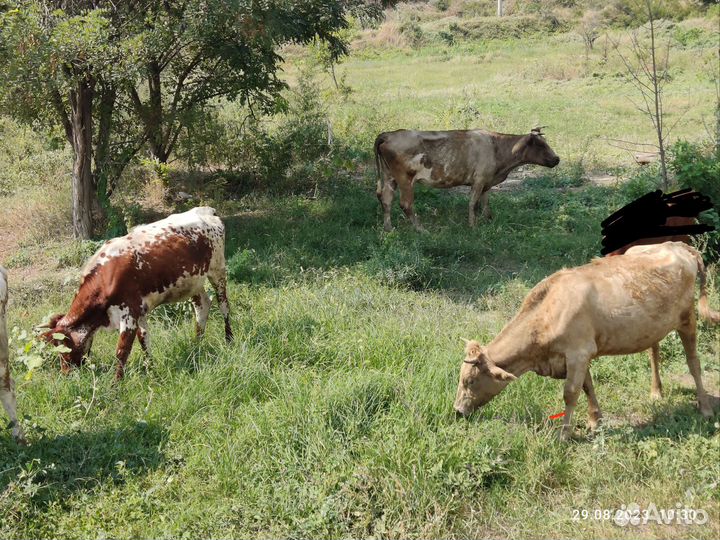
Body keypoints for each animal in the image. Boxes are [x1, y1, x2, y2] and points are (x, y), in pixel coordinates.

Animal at [39, 207, 233, 380]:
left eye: (63, 347)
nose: (65, 373)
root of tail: (206, 210)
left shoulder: (129, 314)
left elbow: (121, 352)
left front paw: (116, 386)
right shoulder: (139, 312)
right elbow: (144, 341)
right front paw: (151, 370)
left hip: (218, 271)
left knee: (224, 306)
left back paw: (229, 340)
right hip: (194, 281)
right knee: (202, 306)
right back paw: (196, 346)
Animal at [374, 127, 560, 231]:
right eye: (540, 144)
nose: (557, 159)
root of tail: (389, 134)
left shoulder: (487, 182)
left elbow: (485, 202)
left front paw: (488, 219)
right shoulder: (479, 180)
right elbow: (473, 203)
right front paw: (473, 225)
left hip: (389, 177)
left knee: (386, 200)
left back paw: (388, 228)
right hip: (405, 179)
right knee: (405, 204)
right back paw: (421, 229)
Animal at [453, 242, 720, 440]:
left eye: (470, 381)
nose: (457, 411)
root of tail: (676, 245)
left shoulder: (578, 353)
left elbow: (570, 393)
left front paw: (564, 435)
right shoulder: (579, 355)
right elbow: (587, 386)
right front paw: (595, 421)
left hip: (688, 319)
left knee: (693, 362)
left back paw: (705, 407)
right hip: (654, 324)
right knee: (654, 350)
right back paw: (656, 393)